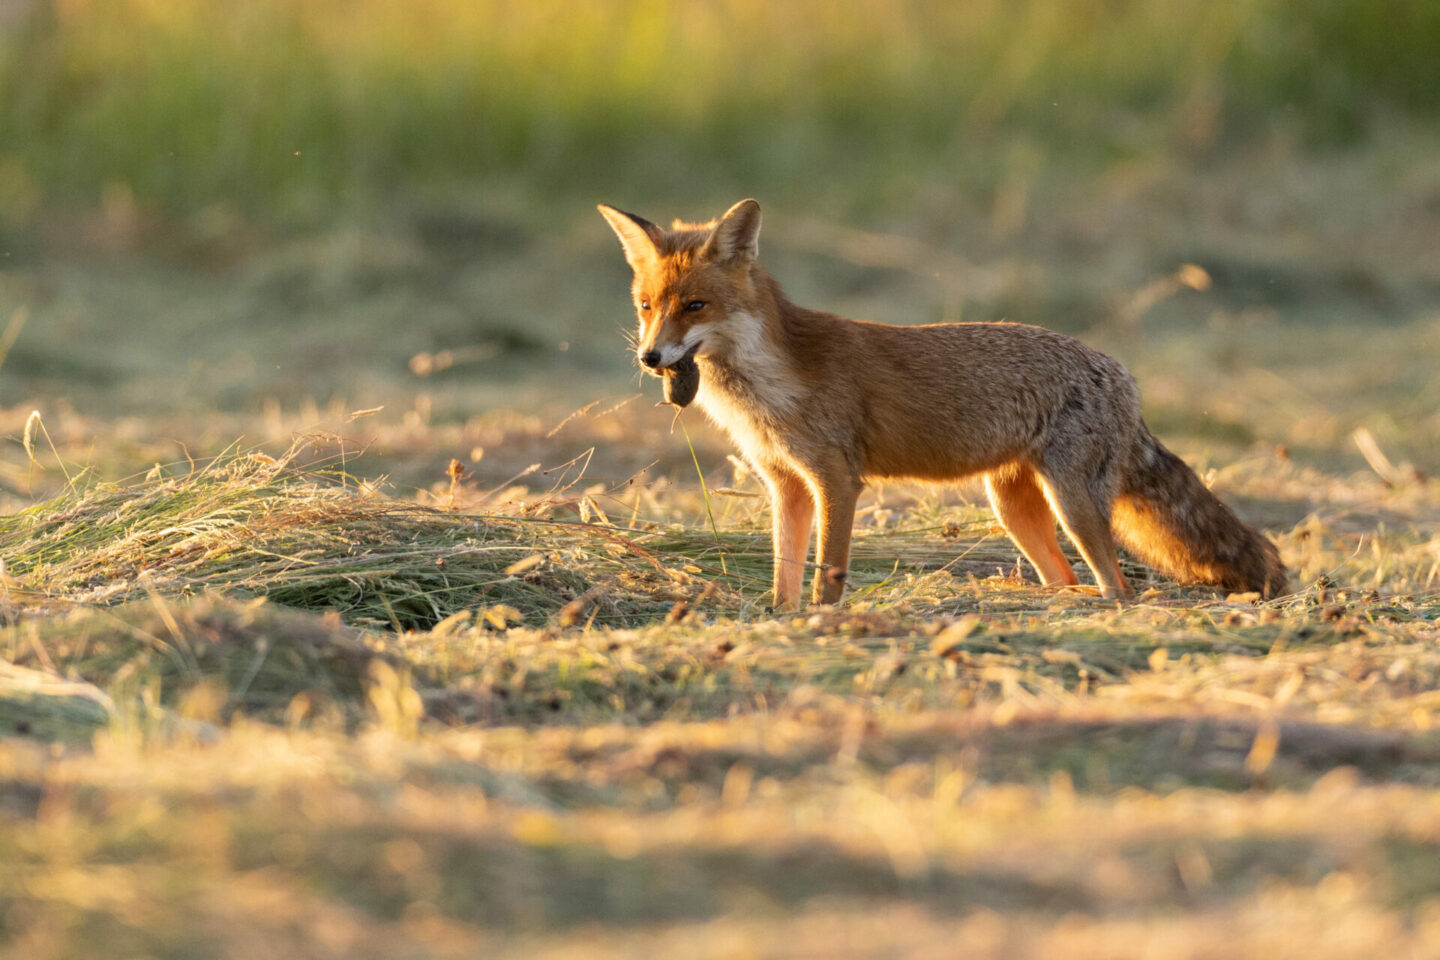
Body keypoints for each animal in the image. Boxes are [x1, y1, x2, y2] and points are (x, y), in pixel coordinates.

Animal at [598, 198, 1288, 610]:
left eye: (695, 306)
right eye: (646, 306)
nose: (651, 358)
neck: (768, 384)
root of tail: (1122, 374)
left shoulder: (837, 480)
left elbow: (828, 572)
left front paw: (826, 622)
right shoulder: (786, 485)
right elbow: (784, 572)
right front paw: (780, 620)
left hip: (1074, 506)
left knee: (1115, 583)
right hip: (1013, 506)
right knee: (1064, 578)